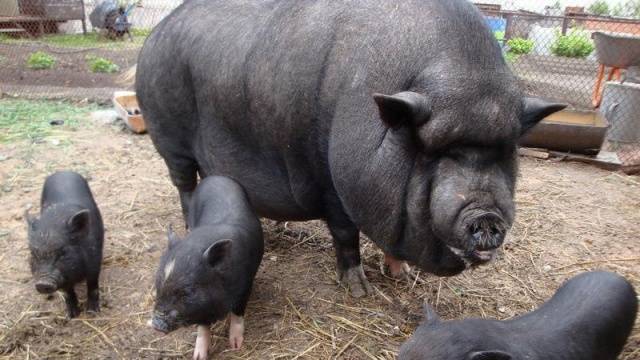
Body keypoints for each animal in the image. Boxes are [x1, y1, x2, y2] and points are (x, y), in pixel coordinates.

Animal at [136, 0, 564, 296]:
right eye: (432, 150)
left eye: (507, 150)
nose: (487, 215)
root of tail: (156, 33)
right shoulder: (328, 179)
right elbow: (345, 234)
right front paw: (359, 290)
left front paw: (402, 275)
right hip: (169, 138)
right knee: (184, 183)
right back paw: (190, 224)